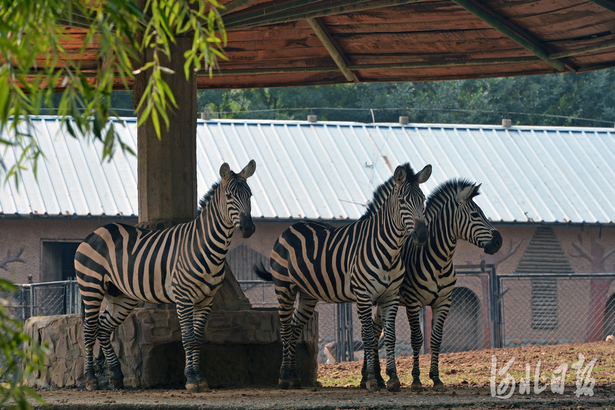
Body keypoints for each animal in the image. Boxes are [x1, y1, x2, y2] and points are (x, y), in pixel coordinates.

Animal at [75, 159, 258, 390]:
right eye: (229, 196)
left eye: (249, 195)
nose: (248, 228)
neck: (207, 246)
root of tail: (95, 232)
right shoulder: (184, 296)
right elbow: (188, 337)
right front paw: (191, 378)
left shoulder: (206, 299)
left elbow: (198, 338)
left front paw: (199, 377)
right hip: (91, 287)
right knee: (89, 331)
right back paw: (91, 379)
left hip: (121, 295)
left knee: (103, 328)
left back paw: (116, 376)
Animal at [255, 163, 434, 390]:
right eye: (402, 201)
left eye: (423, 199)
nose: (422, 235)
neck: (390, 250)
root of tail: (292, 227)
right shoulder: (364, 295)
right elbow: (368, 336)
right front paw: (372, 380)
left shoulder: (390, 296)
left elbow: (390, 337)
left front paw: (393, 379)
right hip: (284, 287)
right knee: (286, 329)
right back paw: (284, 377)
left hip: (307, 294)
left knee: (295, 329)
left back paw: (294, 377)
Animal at [364, 179, 502, 390]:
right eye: (475, 214)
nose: (498, 241)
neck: (440, 260)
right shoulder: (413, 302)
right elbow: (416, 339)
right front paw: (416, 380)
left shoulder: (444, 302)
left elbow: (436, 339)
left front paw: (436, 378)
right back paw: (368, 377)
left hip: (383, 300)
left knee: (375, 328)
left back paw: (375, 377)